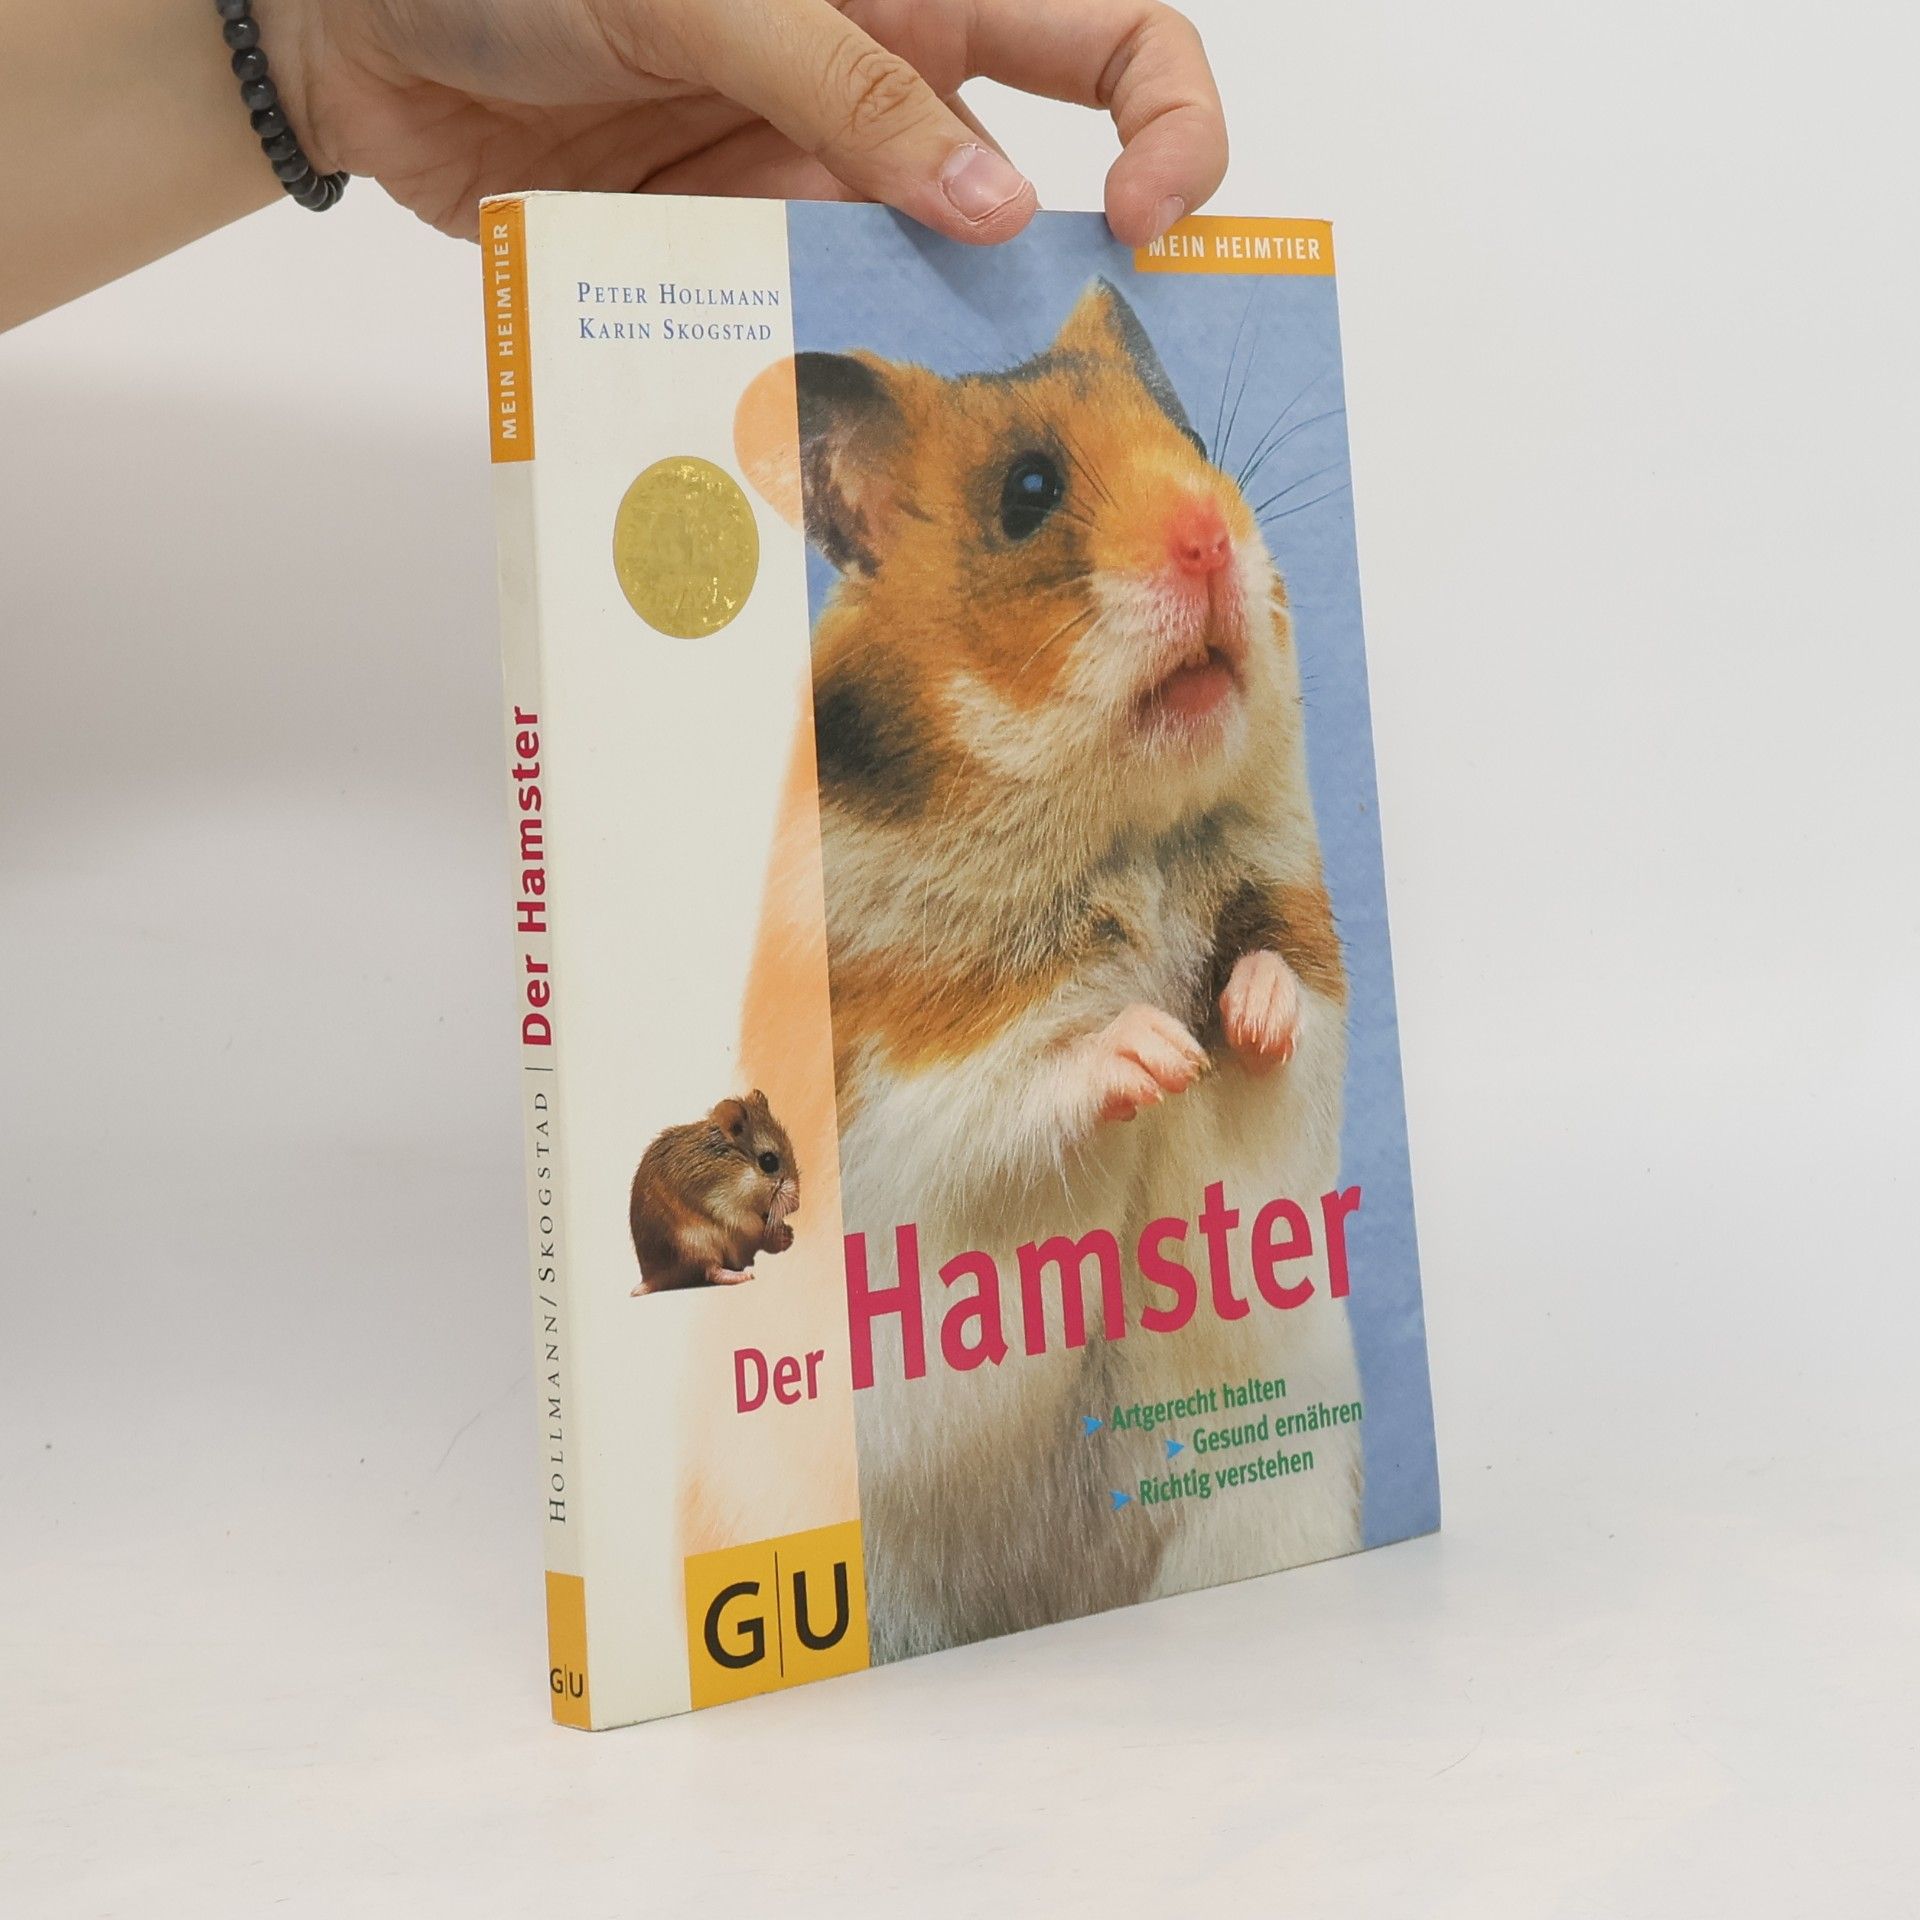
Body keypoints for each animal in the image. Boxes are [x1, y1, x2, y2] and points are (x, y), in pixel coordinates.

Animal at [628, 1091, 800, 1296]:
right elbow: (756, 1228)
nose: (796, 1206)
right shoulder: (728, 1208)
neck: (738, 1166)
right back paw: (744, 1275)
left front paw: (788, 1234)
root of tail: (650, 1279)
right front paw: (781, 1234)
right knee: (712, 1271)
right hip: (696, 1243)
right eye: (768, 1161)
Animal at [733, 280, 1364, 1659]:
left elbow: (1286, 1023)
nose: (1215, 536)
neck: (1120, 845)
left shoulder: (1296, 1051)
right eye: (1028, 492)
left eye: (1193, 440)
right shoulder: (901, 1123)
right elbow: (1010, 1098)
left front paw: (1234, 1017)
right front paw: (1156, 1048)